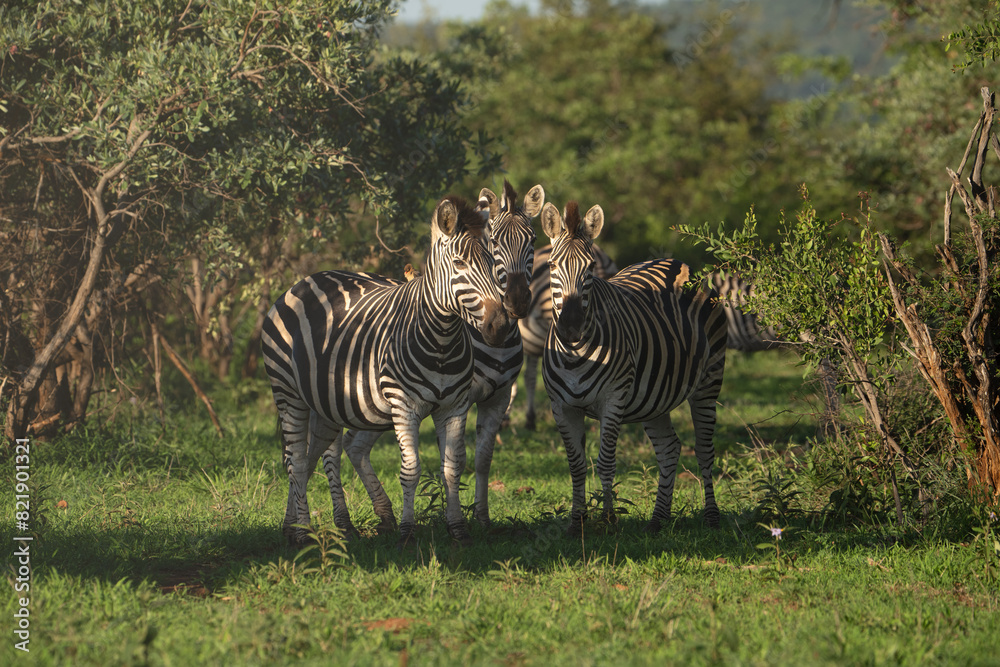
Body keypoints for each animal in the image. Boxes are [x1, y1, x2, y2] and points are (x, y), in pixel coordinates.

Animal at [261, 195, 511, 546]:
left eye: (492, 264)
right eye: (459, 263)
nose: (499, 327)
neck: (442, 340)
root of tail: (304, 281)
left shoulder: (455, 406)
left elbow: (453, 467)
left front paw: (458, 529)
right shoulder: (404, 406)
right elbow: (411, 469)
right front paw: (406, 532)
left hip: (326, 402)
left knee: (315, 456)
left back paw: (303, 525)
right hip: (287, 392)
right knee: (295, 460)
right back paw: (304, 532)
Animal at [341, 180, 544, 532]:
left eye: (532, 241)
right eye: (494, 242)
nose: (516, 302)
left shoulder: (498, 397)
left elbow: (481, 458)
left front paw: (481, 517)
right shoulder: (458, 396)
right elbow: (452, 455)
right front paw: (447, 512)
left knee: (354, 445)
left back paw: (384, 514)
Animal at [540, 201, 728, 533]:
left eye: (590, 269)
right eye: (551, 267)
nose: (571, 328)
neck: (574, 353)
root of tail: (676, 262)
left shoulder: (612, 399)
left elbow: (605, 462)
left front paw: (608, 521)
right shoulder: (561, 406)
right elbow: (576, 465)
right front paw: (577, 524)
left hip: (709, 381)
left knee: (704, 450)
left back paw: (712, 517)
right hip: (656, 397)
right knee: (669, 449)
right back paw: (658, 520)